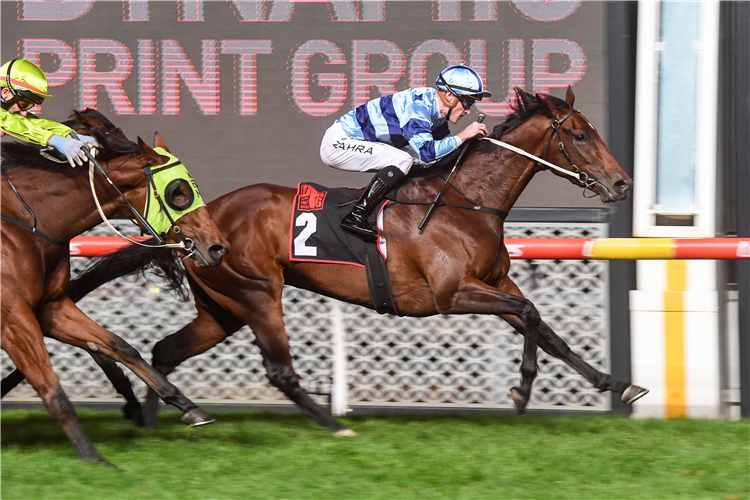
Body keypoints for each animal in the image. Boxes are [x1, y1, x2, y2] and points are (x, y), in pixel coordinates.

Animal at [0, 111, 229, 462]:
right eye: (179, 192)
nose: (217, 248)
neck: (29, 222)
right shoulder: (13, 319)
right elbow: (51, 388)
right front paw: (95, 459)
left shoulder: (48, 307)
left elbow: (119, 345)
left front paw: (187, 405)